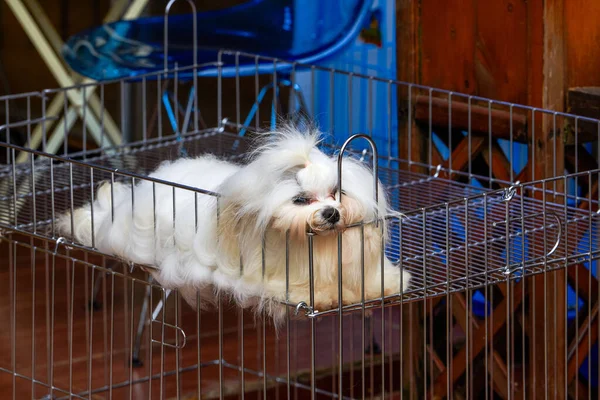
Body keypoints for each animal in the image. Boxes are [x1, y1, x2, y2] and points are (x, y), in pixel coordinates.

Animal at [57, 126, 412, 324]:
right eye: (300, 200)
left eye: (337, 194)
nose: (331, 213)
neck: (314, 248)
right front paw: (322, 296)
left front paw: (387, 283)